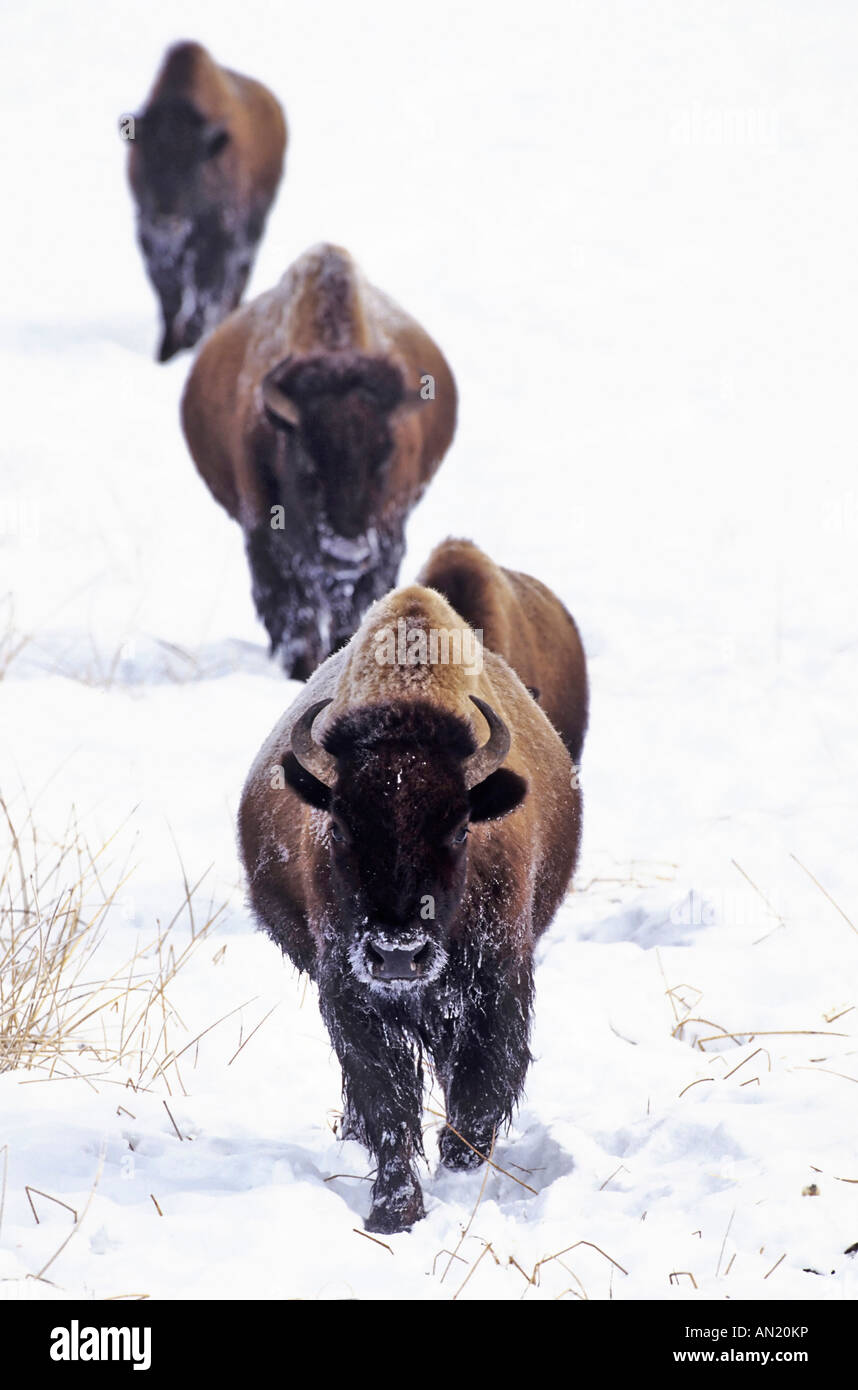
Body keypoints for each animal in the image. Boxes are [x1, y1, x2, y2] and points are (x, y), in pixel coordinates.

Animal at [123, 41, 286, 361]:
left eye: (196, 164)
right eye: (146, 158)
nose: (166, 217)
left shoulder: (217, 236)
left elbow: (205, 289)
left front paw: (190, 340)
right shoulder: (150, 240)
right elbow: (169, 296)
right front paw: (166, 351)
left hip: (252, 231)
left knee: (236, 281)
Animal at [182, 246, 456, 683]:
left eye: (384, 460)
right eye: (308, 469)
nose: (346, 554)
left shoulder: (387, 541)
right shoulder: (265, 539)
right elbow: (290, 613)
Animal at [237, 581, 581, 1234]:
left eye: (461, 829)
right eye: (339, 827)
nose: (398, 955)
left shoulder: (496, 981)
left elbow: (481, 1084)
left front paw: (458, 1170)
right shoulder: (350, 993)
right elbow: (386, 1101)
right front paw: (395, 1212)